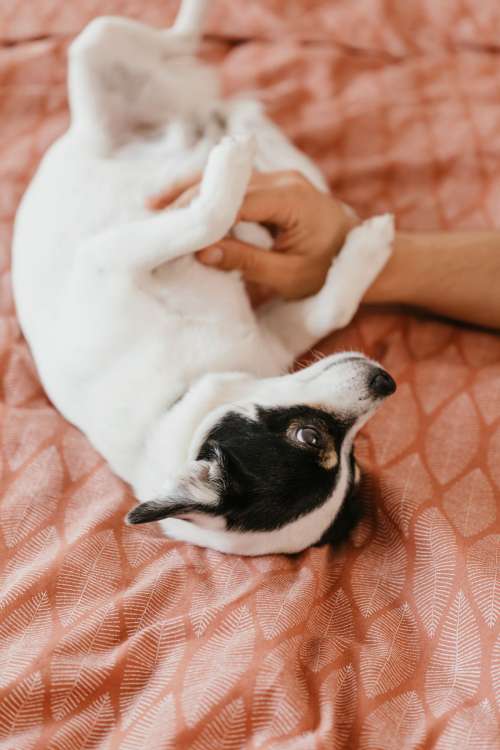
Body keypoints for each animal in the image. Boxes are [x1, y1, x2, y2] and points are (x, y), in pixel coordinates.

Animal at [10, 0, 398, 552]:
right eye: (310, 437)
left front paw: (368, 244)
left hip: (106, 54)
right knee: (173, 48)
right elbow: (205, 218)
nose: (386, 380)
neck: (179, 395)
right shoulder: (110, 260)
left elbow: (331, 306)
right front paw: (232, 174)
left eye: (355, 464)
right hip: (97, 48)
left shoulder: (274, 335)